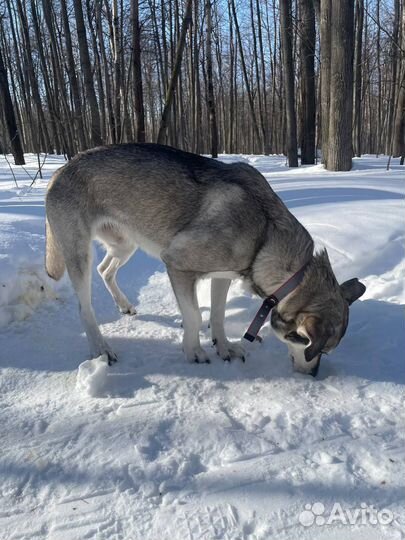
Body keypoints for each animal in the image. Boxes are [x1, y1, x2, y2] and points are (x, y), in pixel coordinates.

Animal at [45, 143, 364, 376]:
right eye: (317, 350)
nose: (314, 375)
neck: (264, 234)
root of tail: (61, 170)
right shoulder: (177, 264)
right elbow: (196, 315)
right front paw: (194, 351)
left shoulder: (222, 276)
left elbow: (218, 316)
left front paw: (223, 347)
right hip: (80, 254)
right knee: (85, 306)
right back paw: (101, 347)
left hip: (126, 244)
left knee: (105, 269)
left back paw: (124, 305)